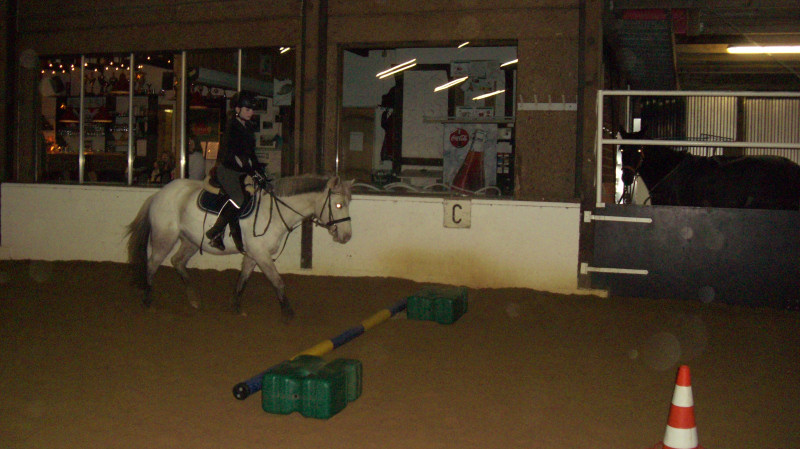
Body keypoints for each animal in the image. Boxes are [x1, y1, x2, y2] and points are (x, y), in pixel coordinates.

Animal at [126, 174, 354, 321]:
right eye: (339, 205)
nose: (347, 236)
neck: (271, 212)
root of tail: (158, 195)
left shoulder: (254, 254)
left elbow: (243, 278)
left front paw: (235, 306)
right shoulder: (261, 254)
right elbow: (277, 281)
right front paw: (288, 312)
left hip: (191, 241)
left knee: (177, 262)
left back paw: (194, 299)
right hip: (165, 238)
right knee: (152, 264)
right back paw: (148, 300)